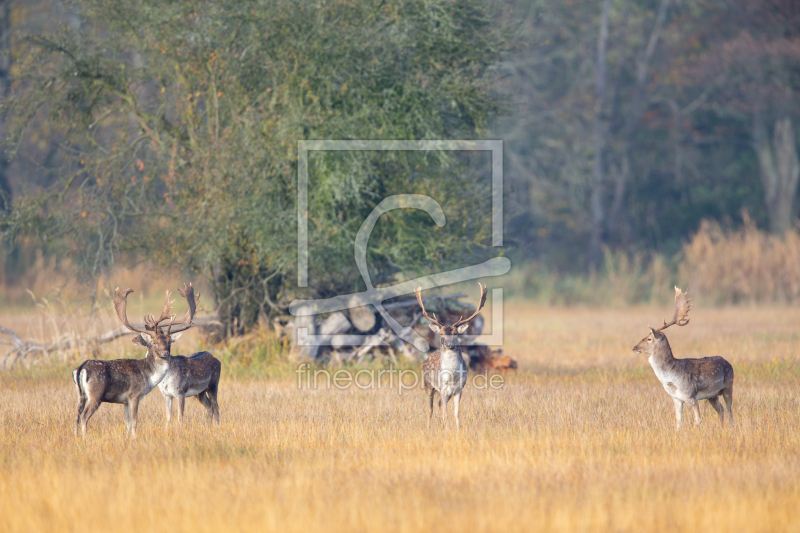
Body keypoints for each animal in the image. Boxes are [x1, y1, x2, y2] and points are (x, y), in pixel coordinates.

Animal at [72, 282, 200, 436]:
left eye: (169, 342)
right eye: (154, 342)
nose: (165, 352)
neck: (149, 377)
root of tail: (81, 368)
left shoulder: (125, 401)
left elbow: (127, 423)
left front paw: (128, 438)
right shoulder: (134, 395)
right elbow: (134, 422)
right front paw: (134, 438)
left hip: (80, 394)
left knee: (76, 415)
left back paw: (76, 437)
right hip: (96, 394)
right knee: (84, 417)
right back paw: (85, 438)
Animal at [412, 282, 488, 428]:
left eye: (455, 333)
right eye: (441, 334)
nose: (448, 344)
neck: (452, 376)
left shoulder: (459, 389)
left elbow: (456, 412)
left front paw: (458, 429)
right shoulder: (442, 388)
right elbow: (445, 413)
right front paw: (447, 430)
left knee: (439, 405)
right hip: (428, 384)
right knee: (430, 409)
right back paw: (428, 427)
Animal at [636, 286, 736, 428]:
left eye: (649, 338)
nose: (634, 348)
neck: (671, 379)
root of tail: (729, 363)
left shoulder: (690, 395)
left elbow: (698, 419)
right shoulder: (676, 398)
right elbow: (678, 420)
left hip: (728, 386)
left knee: (729, 411)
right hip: (713, 395)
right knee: (721, 410)